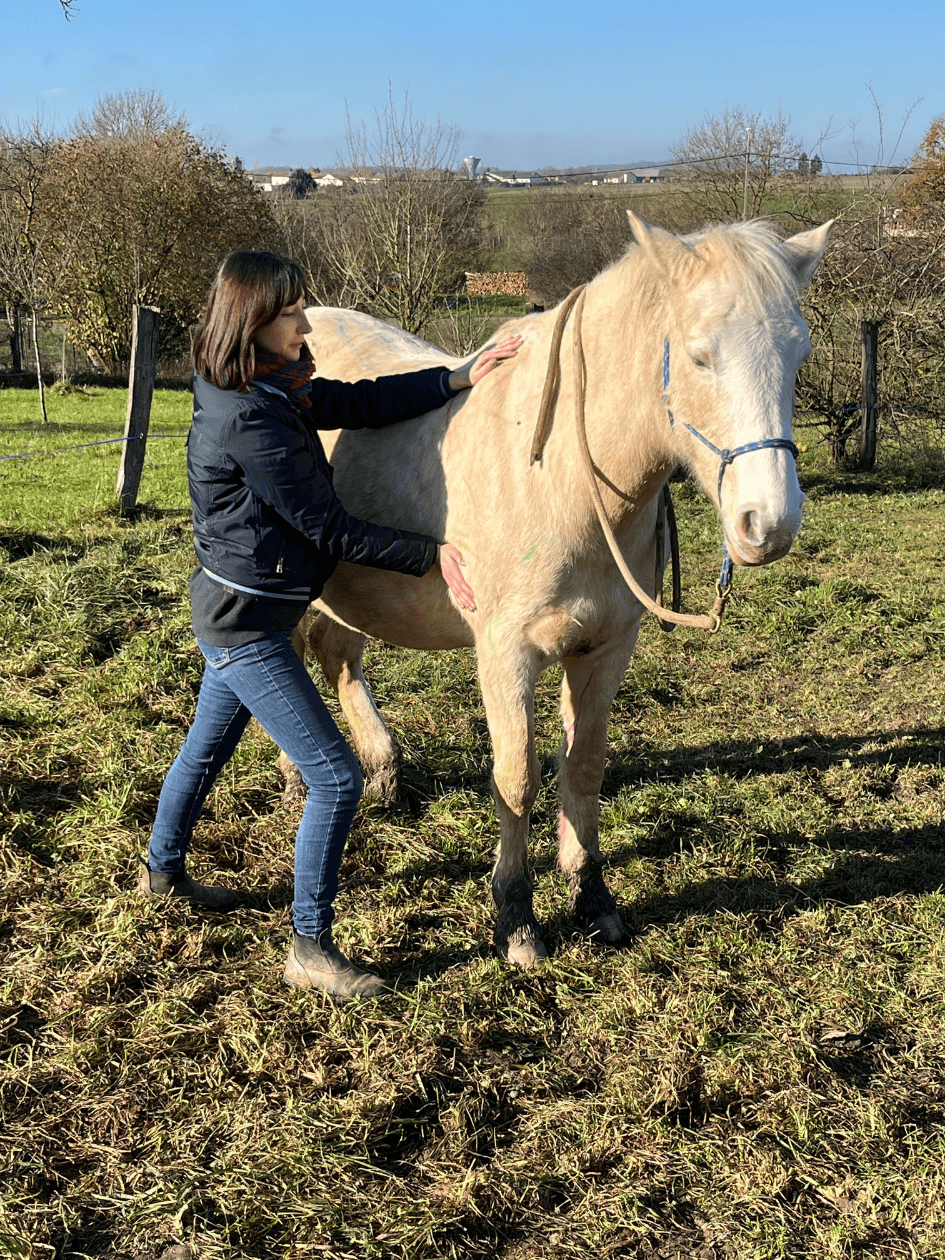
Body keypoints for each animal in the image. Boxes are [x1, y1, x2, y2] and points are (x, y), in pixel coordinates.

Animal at [286, 212, 832, 967]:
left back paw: (383, 770)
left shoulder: (604, 648)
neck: (562, 477)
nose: (768, 524)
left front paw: (591, 897)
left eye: (798, 356)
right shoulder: (505, 654)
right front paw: (515, 918)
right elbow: (516, 779)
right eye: (699, 357)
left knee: (339, 659)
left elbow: (584, 770)